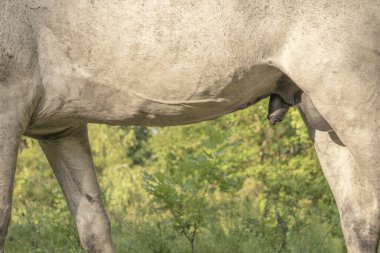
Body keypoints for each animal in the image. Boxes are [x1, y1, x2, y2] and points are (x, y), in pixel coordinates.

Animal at [0, 0, 380, 252]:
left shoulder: (8, 112)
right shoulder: (61, 129)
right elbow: (93, 225)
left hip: (356, 106)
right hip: (327, 116)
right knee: (360, 220)